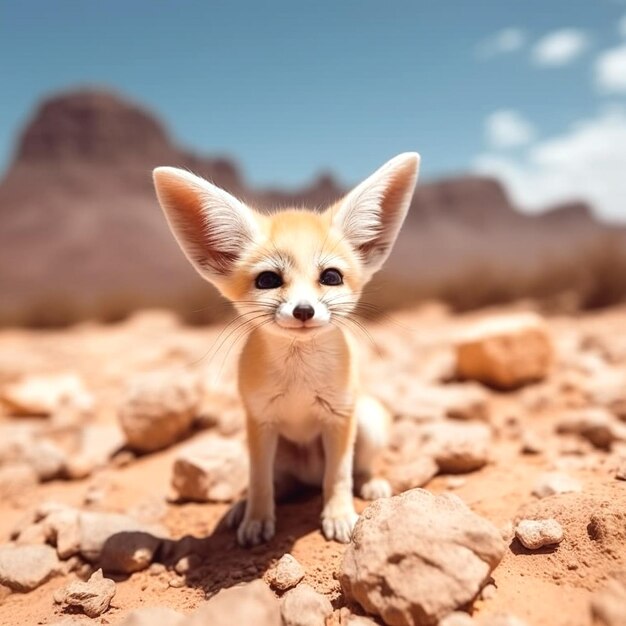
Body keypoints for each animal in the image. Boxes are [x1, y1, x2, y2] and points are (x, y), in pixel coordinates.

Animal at [152, 152, 420, 544]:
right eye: (268, 280)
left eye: (331, 277)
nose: (303, 311)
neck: (299, 377)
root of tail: (308, 475)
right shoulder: (260, 422)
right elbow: (260, 482)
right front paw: (256, 519)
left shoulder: (340, 418)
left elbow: (338, 477)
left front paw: (339, 515)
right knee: (275, 484)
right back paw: (239, 509)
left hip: (368, 421)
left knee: (353, 470)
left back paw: (371, 484)